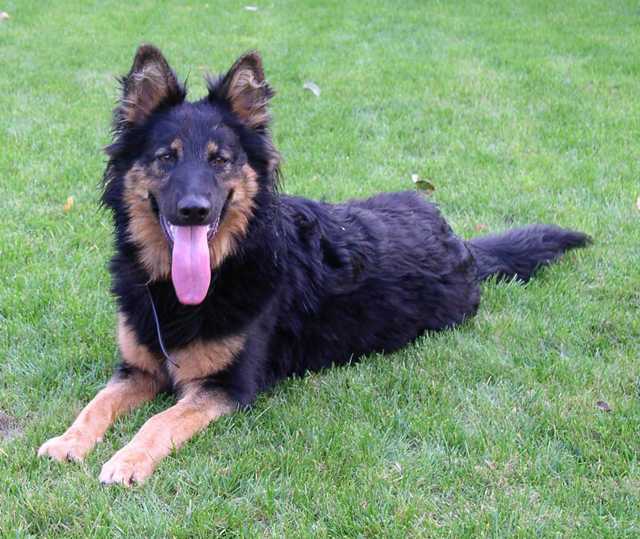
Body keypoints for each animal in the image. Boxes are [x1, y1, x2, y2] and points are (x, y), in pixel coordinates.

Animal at [38, 44, 590, 485]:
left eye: (220, 160)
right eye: (166, 157)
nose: (194, 210)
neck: (185, 290)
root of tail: (461, 241)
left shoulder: (226, 388)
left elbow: (160, 421)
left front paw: (127, 460)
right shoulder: (136, 369)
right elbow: (97, 403)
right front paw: (68, 441)